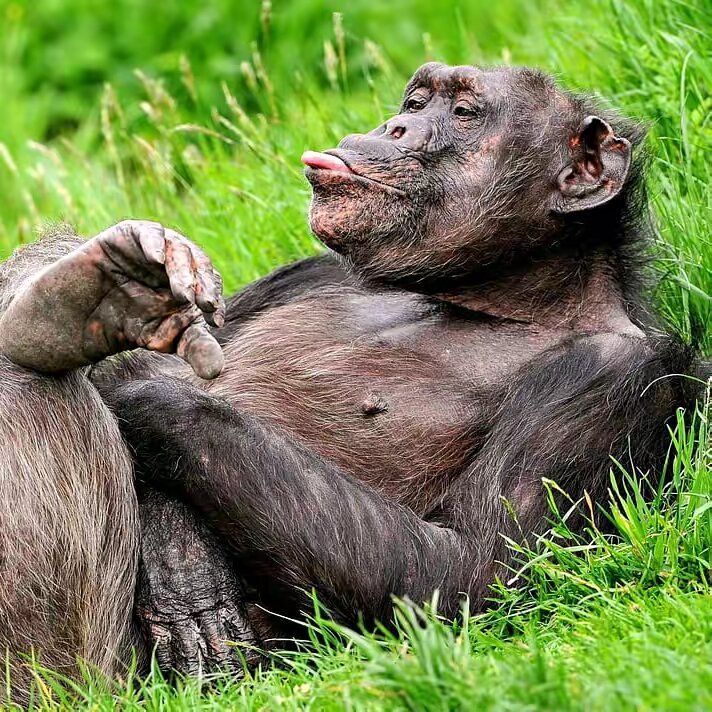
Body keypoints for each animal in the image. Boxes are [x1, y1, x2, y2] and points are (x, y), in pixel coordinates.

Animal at [0, 63, 704, 701]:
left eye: (463, 113)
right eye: (417, 101)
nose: (396, 125)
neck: (489, 298)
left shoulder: (611, 381)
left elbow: (472, 569)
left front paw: (149, 393)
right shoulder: (308, 271)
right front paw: (183, 566)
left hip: (81, 667)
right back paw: (86, 298)